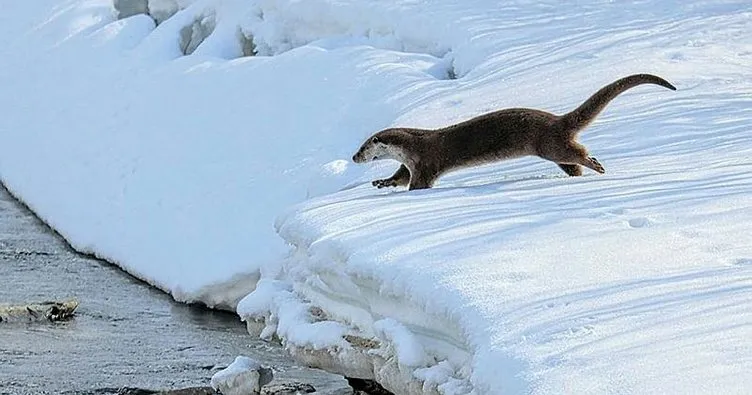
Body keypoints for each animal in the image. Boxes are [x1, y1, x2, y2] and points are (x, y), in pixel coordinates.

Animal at [352, 75, 676, 192]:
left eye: (363, 147)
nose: (354, 158)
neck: (412, 146)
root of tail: (557, 120)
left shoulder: (425, 162)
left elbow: (418, 184)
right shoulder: (409, 163)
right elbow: (398, 176)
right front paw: (381, 182)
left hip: (549, 145)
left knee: (579, 153)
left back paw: (596, 165)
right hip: (556, 148)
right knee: (572, 161)